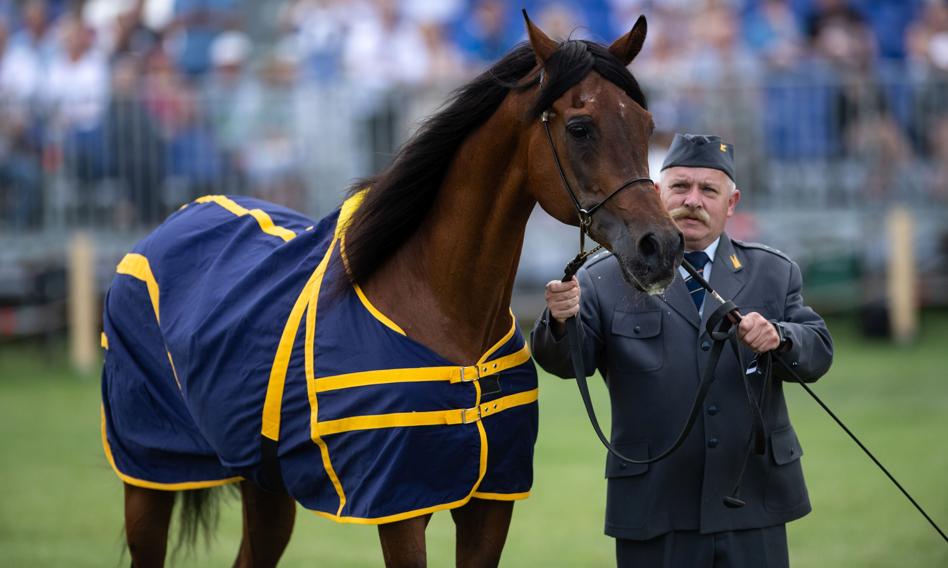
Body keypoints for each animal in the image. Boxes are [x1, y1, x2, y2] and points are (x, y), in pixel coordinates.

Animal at [100, 11, 680, 564]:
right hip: (149, 476)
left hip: (264, 485)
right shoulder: (401, 505)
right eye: (580, 127)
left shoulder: (490, 505)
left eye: (647, 123)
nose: (662, 245)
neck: (441, 306)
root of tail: (176, 218)